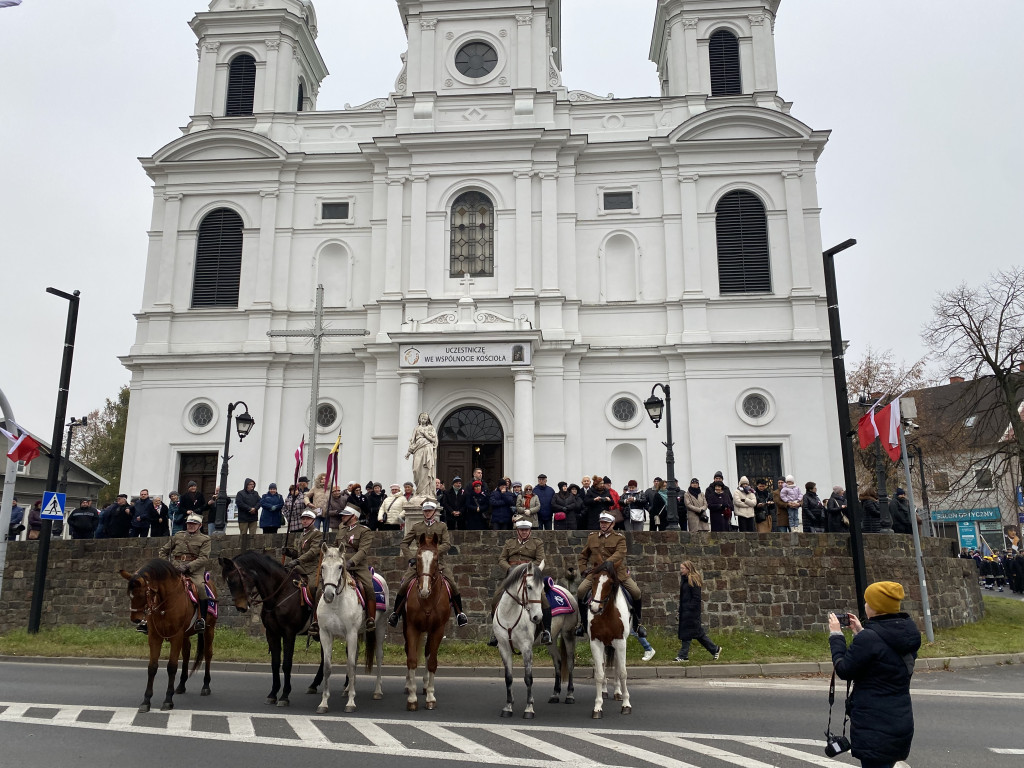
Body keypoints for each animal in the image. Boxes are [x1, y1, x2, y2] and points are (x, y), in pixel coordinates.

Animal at [119, 561, 216, 716]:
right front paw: (146, 701)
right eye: (129, 595)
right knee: (186, 654)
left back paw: (206, 685)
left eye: (142, 594)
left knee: (207, 654)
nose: (136, 619)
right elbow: (152, 667)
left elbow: (172, 667)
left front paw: (168, 700)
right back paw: (181, 685)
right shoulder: (154, 637)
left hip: (209, 629)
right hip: (185, 635)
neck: (165, 602)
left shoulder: (176, 637)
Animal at [219, 552, 323, 708]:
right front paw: (273, 694)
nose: (241, 607)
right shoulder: (272, 633)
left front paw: (285, 696)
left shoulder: (289, 634)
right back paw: (315, 685)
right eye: (228, 582)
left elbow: (286, 664)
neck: (279, 594)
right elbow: (275, 664)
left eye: (233, 580)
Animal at [313, 548, 385, 716]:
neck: (336, 603)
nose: (328, 595)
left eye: (340, 567)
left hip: (379, 627)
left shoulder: (351, 633)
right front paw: (324, 703)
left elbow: (351, 665)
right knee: (356, 655)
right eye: (323, 566)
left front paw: (351, 702)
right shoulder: (325, 634)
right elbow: (327, 667)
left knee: (378, 656)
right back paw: (347, 690)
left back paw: (377, 691)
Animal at [399, 532, 448, 712]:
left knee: (427, 653)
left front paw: (430, 697)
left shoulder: (438, 630)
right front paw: (412, 698)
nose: (424, 590)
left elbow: (432, 662)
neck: (427, 600)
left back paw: (426, 686)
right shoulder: (412, 628)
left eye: (436, 559)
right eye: (418, 558)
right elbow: (412, 660)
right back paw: (408, 685)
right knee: (410, 651)